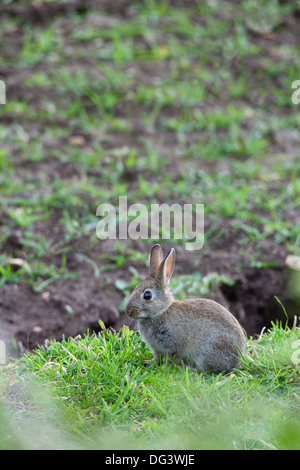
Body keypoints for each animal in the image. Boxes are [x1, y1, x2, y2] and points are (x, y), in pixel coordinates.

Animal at [124, 244, 246, 372]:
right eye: (135, 288)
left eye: (147, 295)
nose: (128, 311)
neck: (161, 312)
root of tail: (236, 362)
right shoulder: (156, 349)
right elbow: (157, 357)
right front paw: (149, 362)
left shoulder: (172, 346)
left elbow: (170, 358)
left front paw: (164, 368)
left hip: (207, 350)